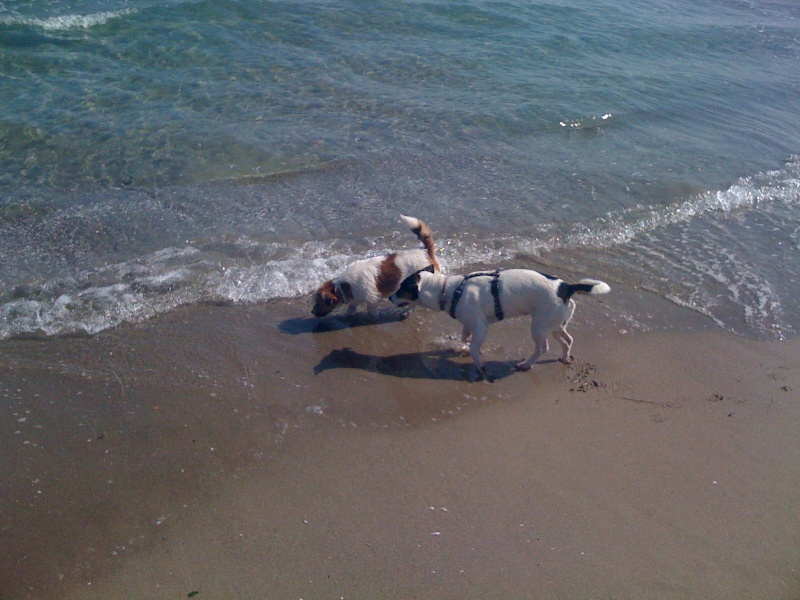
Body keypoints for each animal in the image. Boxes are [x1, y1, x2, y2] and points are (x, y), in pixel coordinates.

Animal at [310, 216, 438, 318]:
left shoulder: (373, 299)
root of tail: (427, 253)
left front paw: (375, 316)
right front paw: (346, 315)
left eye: (319, 302)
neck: (342, 286)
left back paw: (406, 312)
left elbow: (371, 310)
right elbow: (351, 308)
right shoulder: (356, 298)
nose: (312, 312)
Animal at [390, 266, 608, 378]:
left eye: (401, 289)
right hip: (555, 324)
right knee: (568, 340)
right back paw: (564, 357)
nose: (390, 297)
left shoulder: (481, 326)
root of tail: (567, 287)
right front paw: (462, 347)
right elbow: (465, 336)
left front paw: (479, 364)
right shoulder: (470, 323)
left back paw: (525, 364)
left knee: (542, 348)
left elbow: (473, 347)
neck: (448, 290)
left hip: (539, 327)